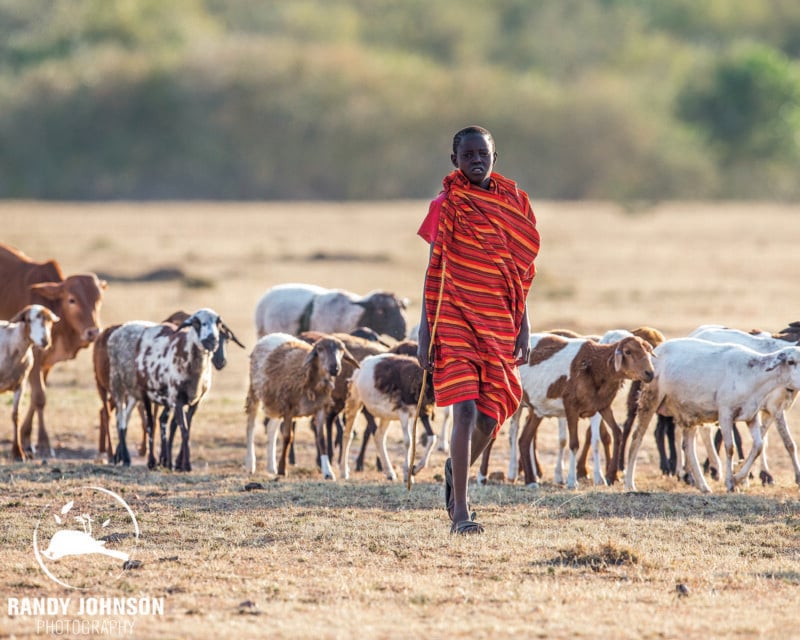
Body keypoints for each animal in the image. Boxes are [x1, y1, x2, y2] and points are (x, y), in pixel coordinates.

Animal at [0, 242, 107, 458]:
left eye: (98, 299)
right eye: (72, 300)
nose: (93, 332)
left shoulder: (45, 363)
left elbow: (36, 398)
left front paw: (26, 438)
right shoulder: (34, 358)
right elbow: (40, 397)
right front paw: (44, 443)